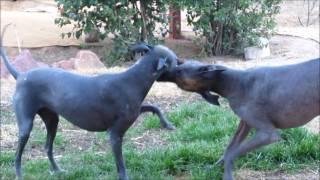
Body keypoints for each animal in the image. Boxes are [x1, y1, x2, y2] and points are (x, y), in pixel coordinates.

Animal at [0, 25, 178, 179]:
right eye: (176, 61)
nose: (183, 64)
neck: (134, 80)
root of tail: (21, 75)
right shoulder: (115, 135)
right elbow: (121, 166)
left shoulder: (136, 110)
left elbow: (154, 106)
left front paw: (167, 124)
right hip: (26, 126)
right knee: (17, 154)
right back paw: (19, 175)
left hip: (52, 120)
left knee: (47, 147)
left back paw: (57, 170)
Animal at [161, 58, 318, 179]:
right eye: (179, 67)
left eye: (179, 71)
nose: (163, 67)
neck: (234, 82)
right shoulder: (245, 124)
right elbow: (228, 149)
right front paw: (211, 168)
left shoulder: (268, 134)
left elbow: (232, 153)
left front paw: (227, 175)